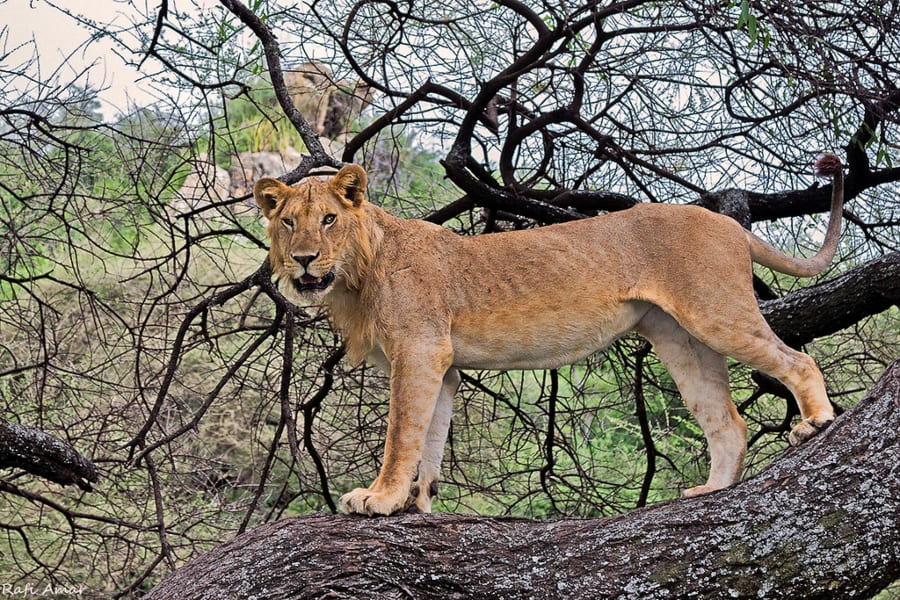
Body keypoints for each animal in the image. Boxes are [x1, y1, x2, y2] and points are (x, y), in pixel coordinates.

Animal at [251, 155, 844, 516]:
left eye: (328, 219)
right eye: (289, 222)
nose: (304, 259)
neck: (355, 276)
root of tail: (729, 224)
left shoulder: (419, 350)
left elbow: (402, 435)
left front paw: (379, 498)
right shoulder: (443, 365)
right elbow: (431, 440)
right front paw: (418, 505)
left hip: (716, 313)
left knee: (797, 361)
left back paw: (815, 423)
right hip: (680, 339)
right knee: (727, 420)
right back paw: (712, 489)